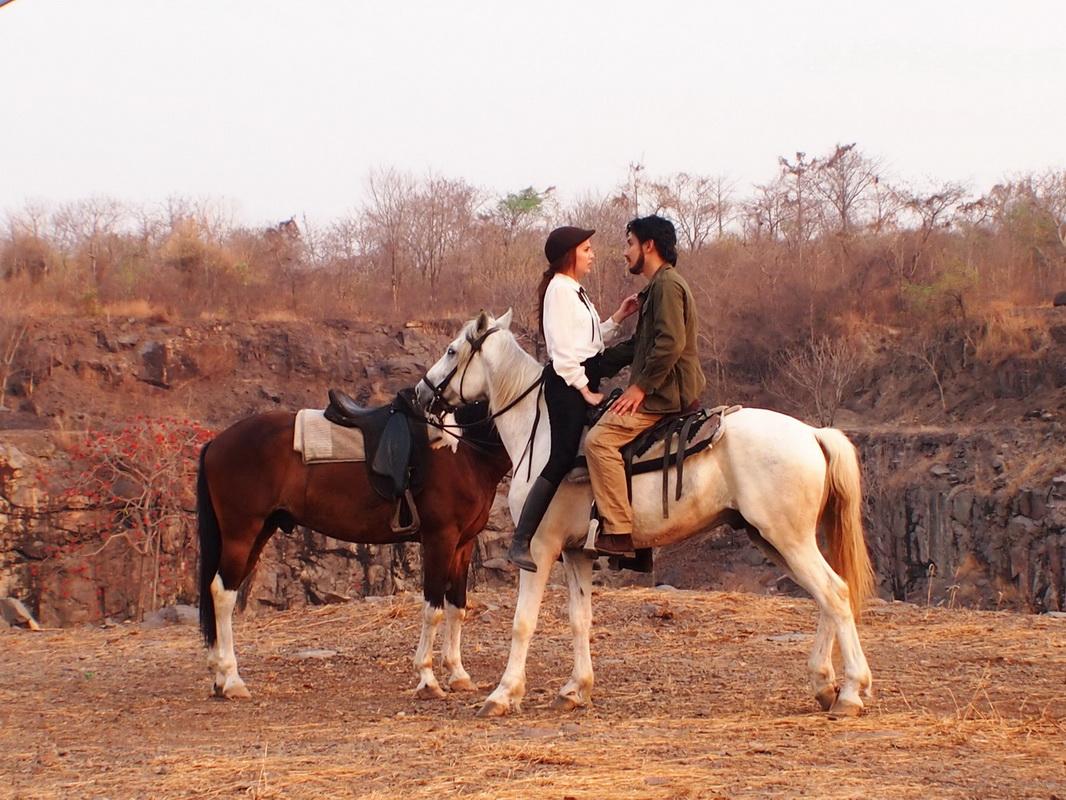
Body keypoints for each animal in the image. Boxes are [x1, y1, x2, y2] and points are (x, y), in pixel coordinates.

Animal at [196, 400, 511, 700]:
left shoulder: (463, 544)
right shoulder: (440, 539)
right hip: (241, 533)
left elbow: (457, 607)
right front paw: (427, 679)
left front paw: (458, 675)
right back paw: (231, 679)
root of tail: (217, 442)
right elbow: (433, 610)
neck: (464, 452)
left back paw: (219, 679)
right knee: (222, 594)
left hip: (259, 532)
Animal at [416, 310, 876, 718]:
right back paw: (824, 684)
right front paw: (575, 689)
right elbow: (580, 618)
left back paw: (851, 691)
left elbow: (523, 622)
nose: (422, 393)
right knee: (826, 596)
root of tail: (813, 433)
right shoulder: (577, 552)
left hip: (788, 539)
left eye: (453, 350)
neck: (541, 430)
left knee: (834, 593)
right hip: (775, 540)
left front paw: (504, 694)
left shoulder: (539, 549)